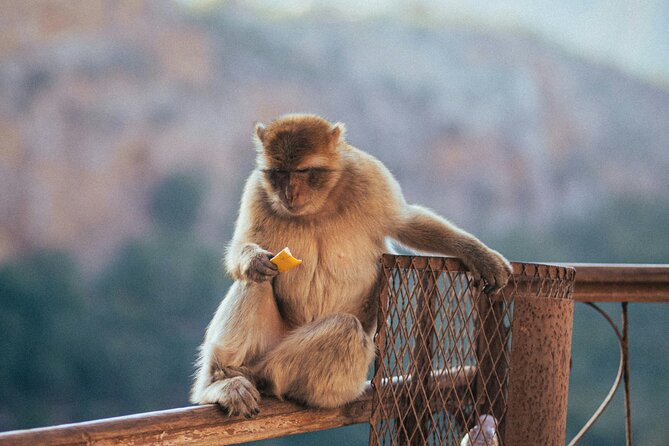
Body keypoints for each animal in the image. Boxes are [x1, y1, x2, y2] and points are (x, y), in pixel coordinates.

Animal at [190, 113, 512, 417]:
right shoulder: (257, 189)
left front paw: (477, 253)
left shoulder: (371, 177)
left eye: (303, 171)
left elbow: (407, 222)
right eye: (280, 173)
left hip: (334, 383)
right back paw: (223, 380)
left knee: (344, 330)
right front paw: (254, 260)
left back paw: (259, 377)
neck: (320, 202)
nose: (289, 194)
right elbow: (245, 246)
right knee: (256, 283)